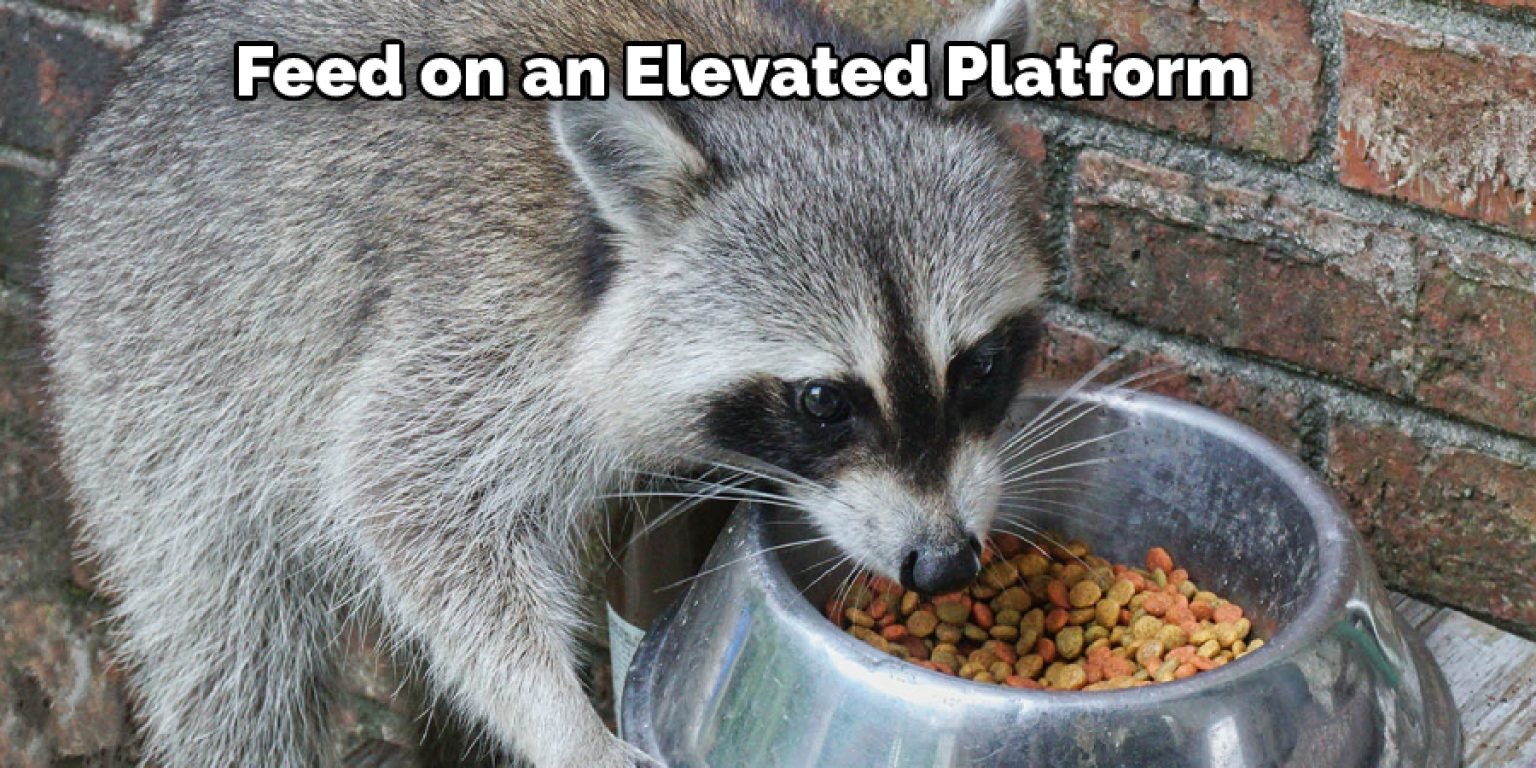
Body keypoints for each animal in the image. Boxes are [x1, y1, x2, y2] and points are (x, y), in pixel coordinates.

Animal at [41, 0, 1046, 765]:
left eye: (980, 367)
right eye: (824, 403)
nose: (946, 564)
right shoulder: (476, 324)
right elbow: (404, 492)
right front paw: (563, 724)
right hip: (155, 380)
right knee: (226, 647)